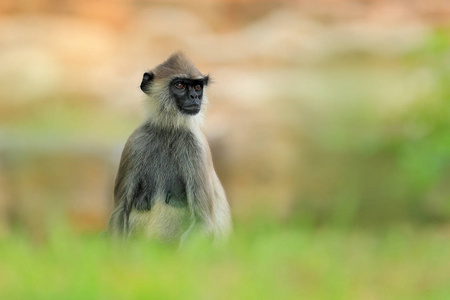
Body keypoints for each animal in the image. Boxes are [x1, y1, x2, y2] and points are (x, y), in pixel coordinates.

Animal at [108, 52, 232, 244]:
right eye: (180, 85)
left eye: (197, 87)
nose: (195, 98)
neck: (169, 130)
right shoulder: (136, 142)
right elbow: (120, 212)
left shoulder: (196, 147)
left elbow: (203, 222)